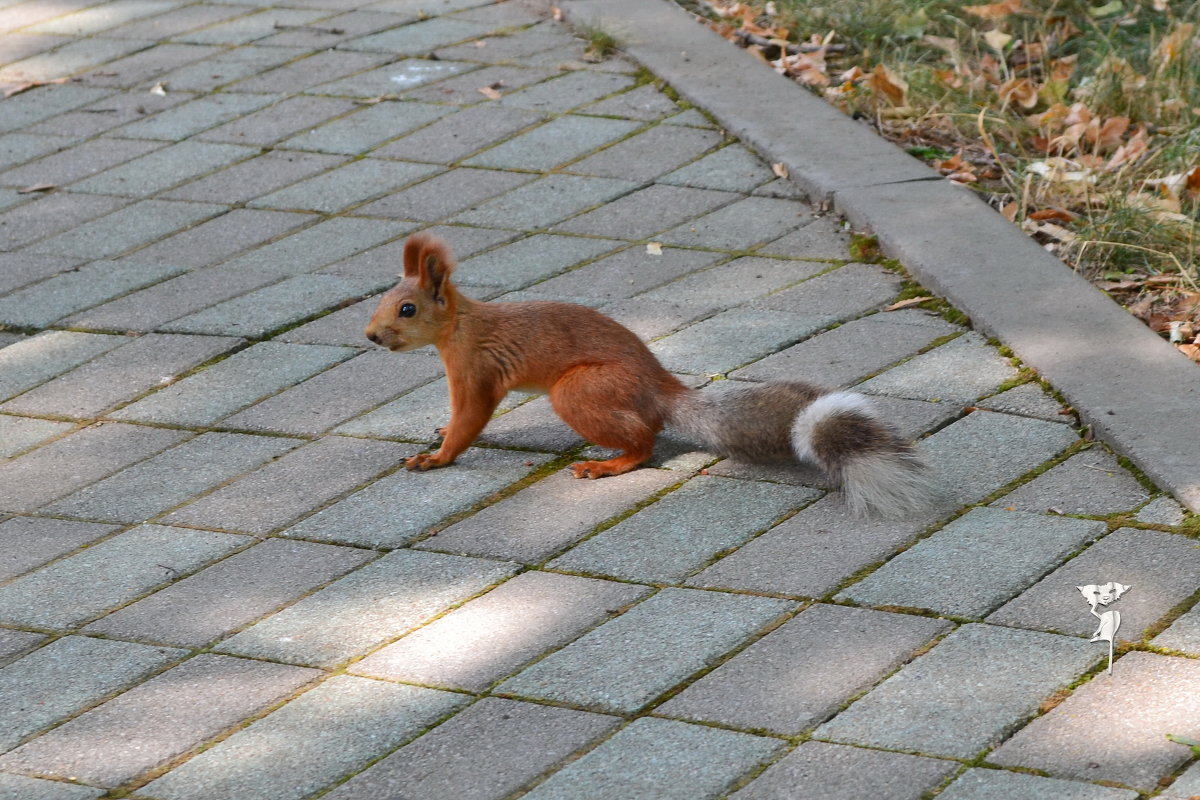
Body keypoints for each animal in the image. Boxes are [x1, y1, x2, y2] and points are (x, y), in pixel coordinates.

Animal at [364, 235, 936, 515]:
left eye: (408, 309)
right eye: (383, 300)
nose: (369, 336)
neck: (460, 326)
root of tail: (661, 389)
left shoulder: (476, 371)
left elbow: (471, 419)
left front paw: (437, 457)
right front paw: (439, 430)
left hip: (579, 391)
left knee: (645, 440)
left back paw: (608, 465)